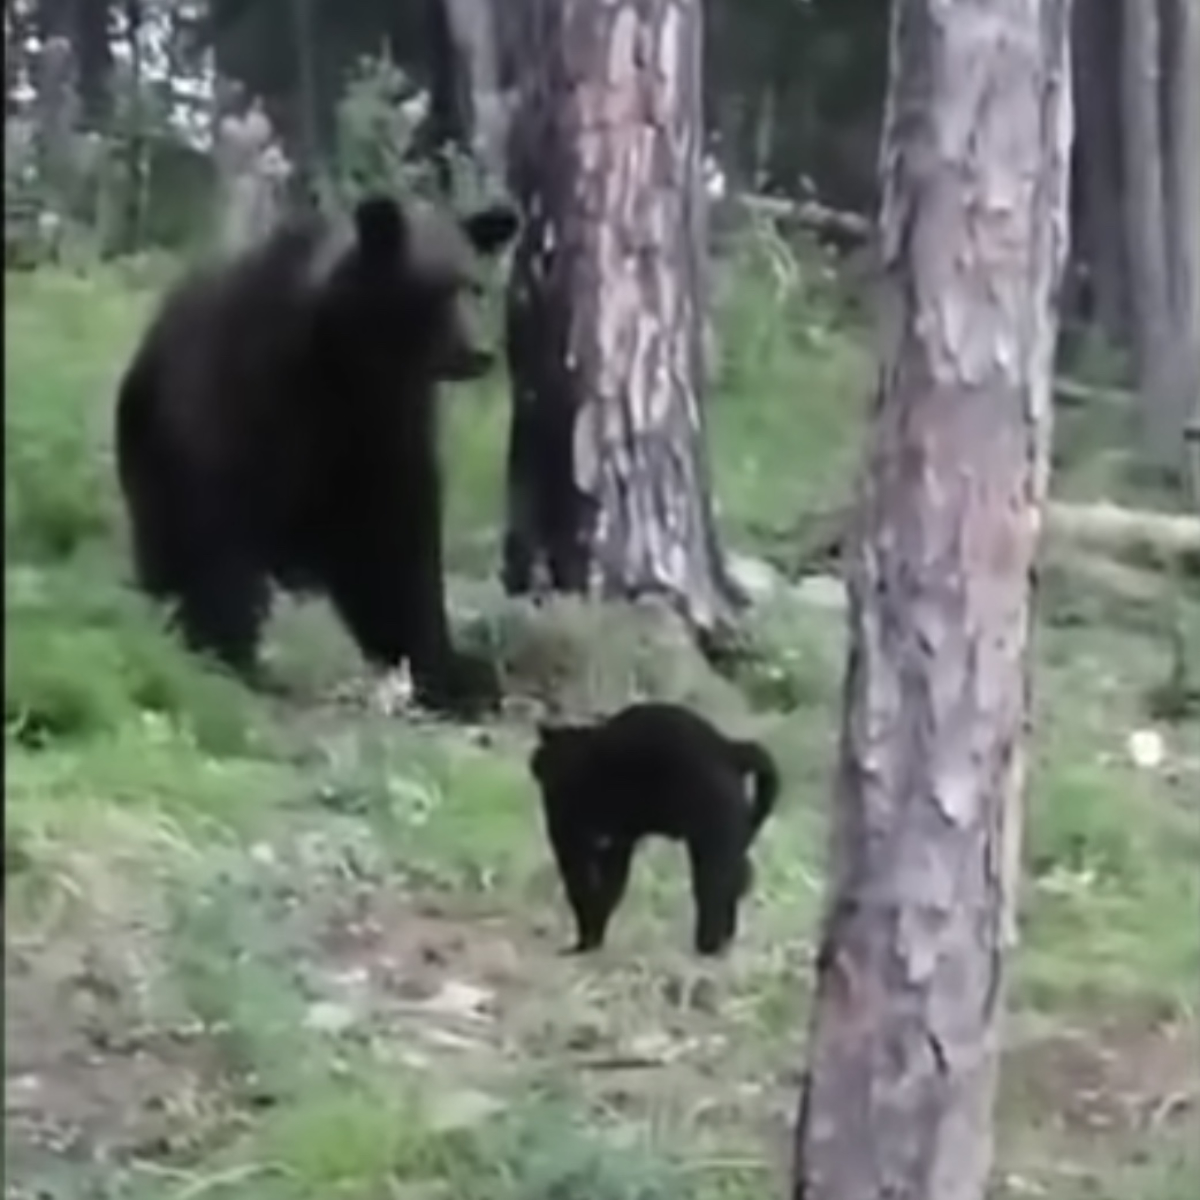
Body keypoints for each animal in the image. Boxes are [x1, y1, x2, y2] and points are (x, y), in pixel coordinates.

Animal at [113, 192, 519, 716]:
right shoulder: (254, 396)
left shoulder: (384, 428)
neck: (343, 360)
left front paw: (456, 673)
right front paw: (228, 652)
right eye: (435, 290)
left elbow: (395, 543)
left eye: (476, 286)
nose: (481, 351)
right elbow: (221, 522)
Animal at [528, 702, 780, 956]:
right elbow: (608, 890)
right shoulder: (616, 845)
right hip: (728, 838)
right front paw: (594, 938)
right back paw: (725, 938)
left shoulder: (570, 840)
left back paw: (707, 944)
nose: (536, 764)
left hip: (711, 838)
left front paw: (584, 942)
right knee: (739, 878)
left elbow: (582, 889)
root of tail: (727, 747)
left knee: (714, 886)